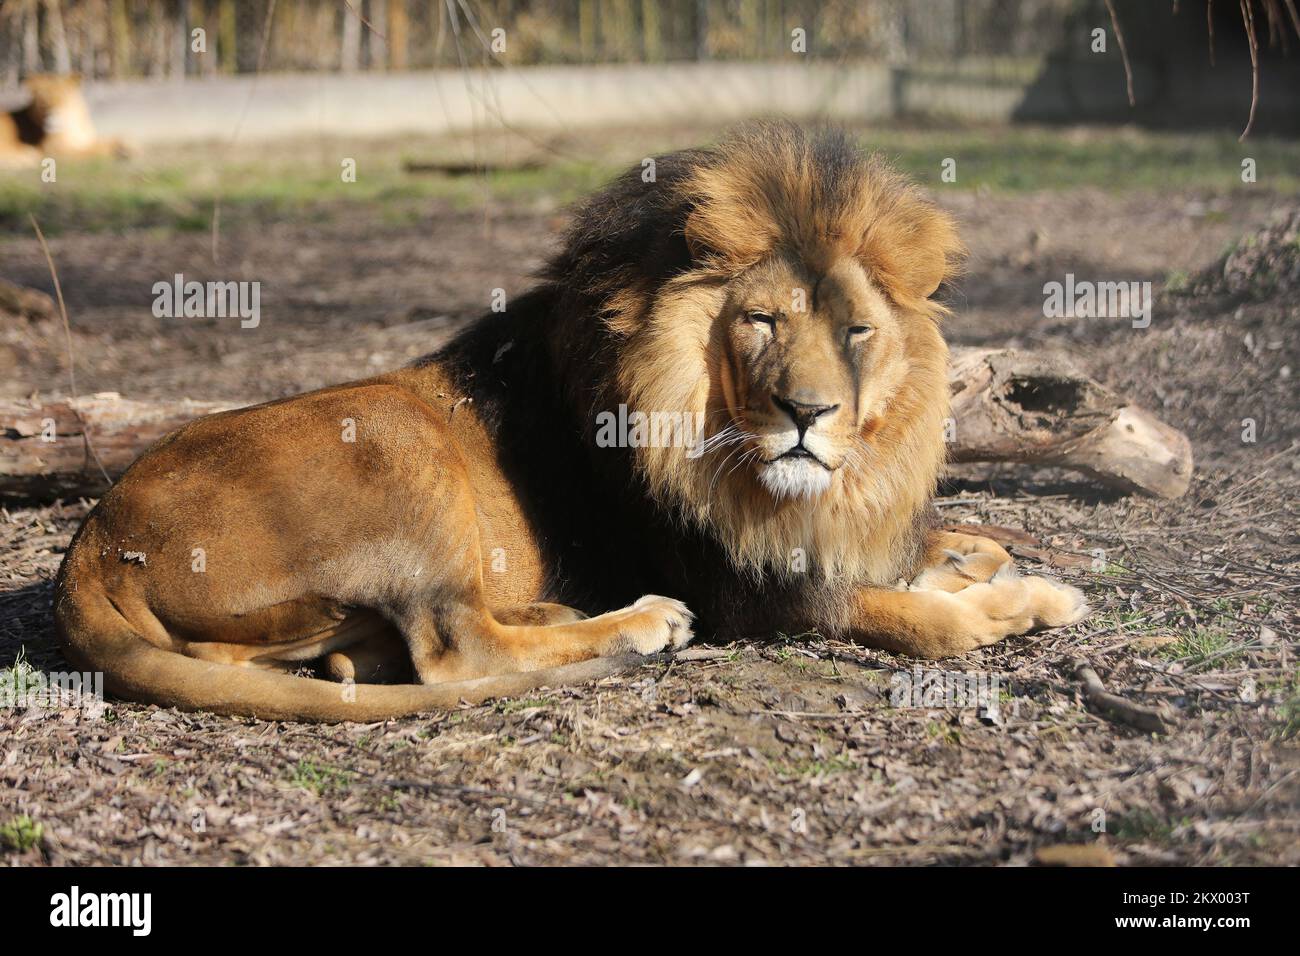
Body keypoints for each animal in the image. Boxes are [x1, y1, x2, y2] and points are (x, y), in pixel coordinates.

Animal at [53, 121, 1086, 717]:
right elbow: (922, 620)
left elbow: (950, 550)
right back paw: (639, 623)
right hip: (395, 438)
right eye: (761, 322)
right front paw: (1027, 600)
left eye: (857, 330)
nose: (807, 411)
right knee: (456, 651)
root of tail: (94, 541)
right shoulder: (750, 592)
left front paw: (991, 565)